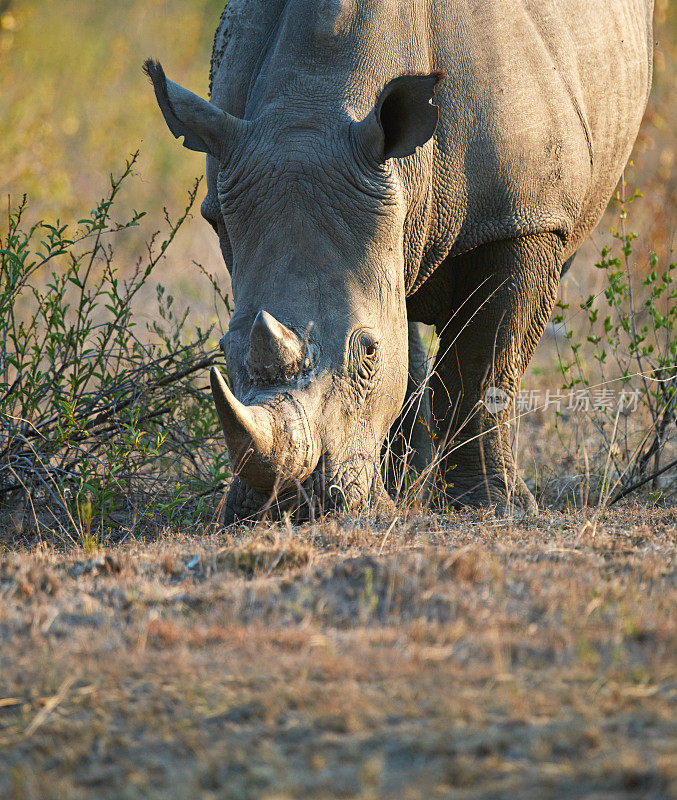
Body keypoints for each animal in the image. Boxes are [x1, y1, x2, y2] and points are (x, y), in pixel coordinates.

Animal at [145, 0, 652, 520]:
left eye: (368, 351)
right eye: (224, 347)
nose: (287, 506)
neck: (314, 100)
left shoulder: (522, 217)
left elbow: (481, 366)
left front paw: (488, 507)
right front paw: (394, 496)